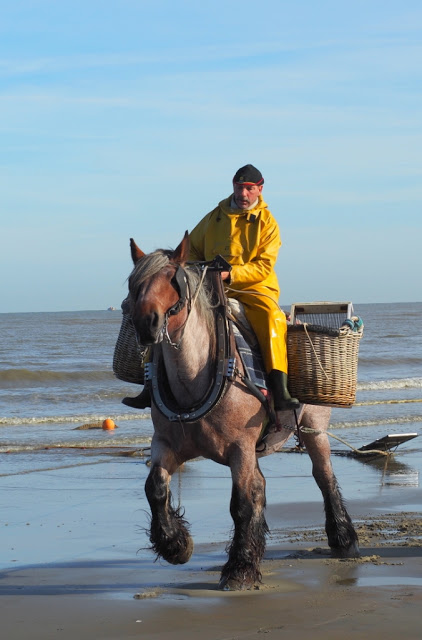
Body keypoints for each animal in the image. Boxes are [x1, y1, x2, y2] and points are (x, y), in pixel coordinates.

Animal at [126, 231, 360, 592]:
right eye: (133, 282)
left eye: (172, 279)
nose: (145, 322)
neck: (195, 377)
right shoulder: (165, 444)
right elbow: (155, 489)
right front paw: (175, 545)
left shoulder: (240, 448)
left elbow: (241, 504)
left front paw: (239, 568)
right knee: (262, 487)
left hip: (314, 428)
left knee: (324, 477)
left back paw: (343, 538)